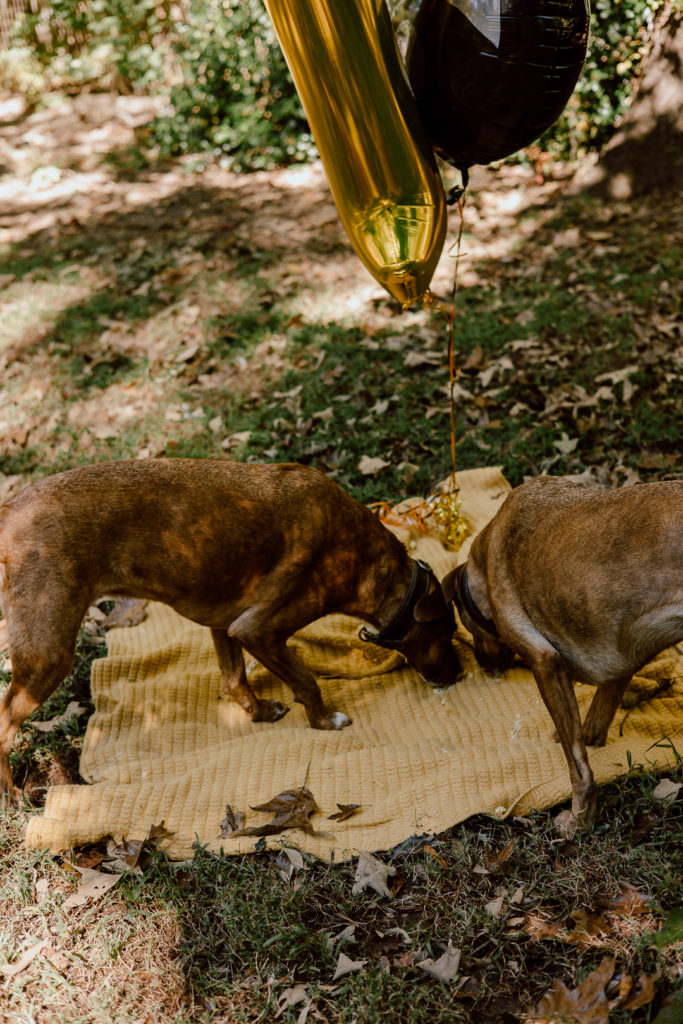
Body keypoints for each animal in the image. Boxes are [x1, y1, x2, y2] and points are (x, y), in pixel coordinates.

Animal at [1, 460, 458, 802]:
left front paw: (259, 714)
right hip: (49, 655)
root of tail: (10, 508)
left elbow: (235, 678)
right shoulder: (258, 630)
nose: (459, 675)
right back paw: (11, 795)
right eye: (450, 631)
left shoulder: (225, 625)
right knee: (5, 726)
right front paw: (325, 721)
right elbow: (307, 681)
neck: (363, 559)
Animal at [444, 477, 683, 831]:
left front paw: (580, 819)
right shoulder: (620, 662)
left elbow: (578, 764)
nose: (487, 667)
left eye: (469, 627)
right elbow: (594, 721)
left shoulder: (546, 663)